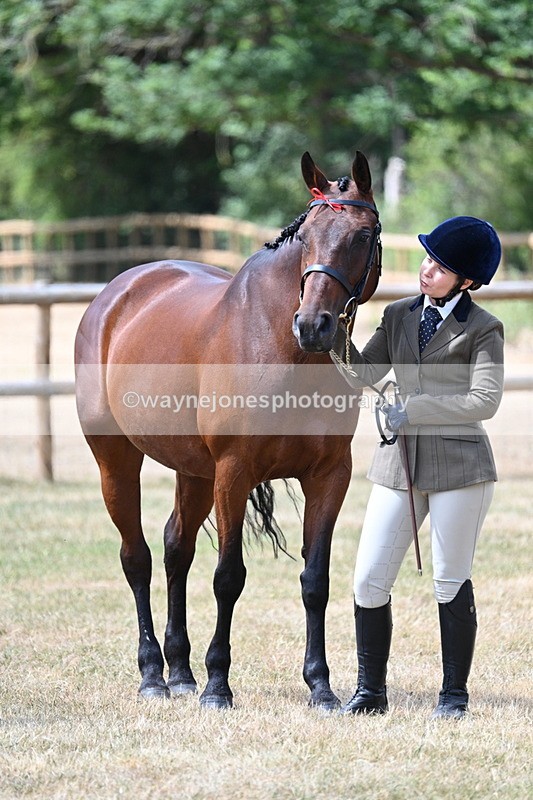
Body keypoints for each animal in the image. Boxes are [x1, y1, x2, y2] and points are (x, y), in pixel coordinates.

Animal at [74, 151, 382, 711]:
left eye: (363, 235)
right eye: (306, 236)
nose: (314, 326)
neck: (280, 348)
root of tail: (115, 294)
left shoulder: (330, 475)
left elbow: (315, 579)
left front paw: (321, 686)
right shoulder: (234, 473)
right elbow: (228, 577)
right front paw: (219, 684)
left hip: (194, 472)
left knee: (176, 548)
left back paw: (180, 671)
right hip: (117, 461)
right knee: (137, 558)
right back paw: (153, 675)